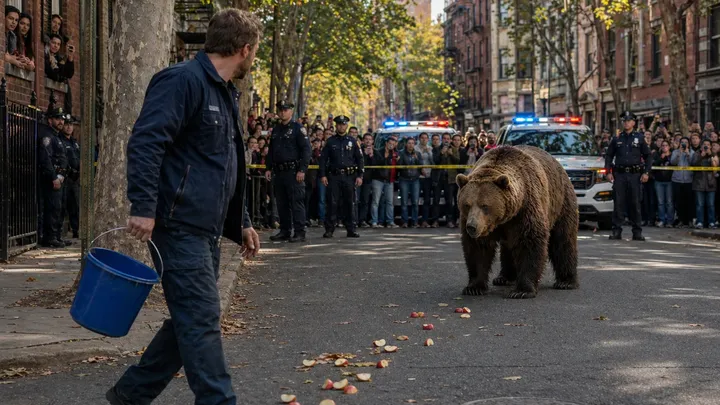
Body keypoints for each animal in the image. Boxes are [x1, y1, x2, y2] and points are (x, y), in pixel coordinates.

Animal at [455, 145, 579, 299]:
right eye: (467, 204)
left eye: (484, 206)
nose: (472, 227)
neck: (503, 218)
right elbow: (478, 248)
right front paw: (474, 287)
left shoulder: (525, 210)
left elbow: (530, 242)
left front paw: (522, 290)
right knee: (508, 246)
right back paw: (504, 277)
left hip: (561, 203)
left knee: (563, 240)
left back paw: (566, 281)